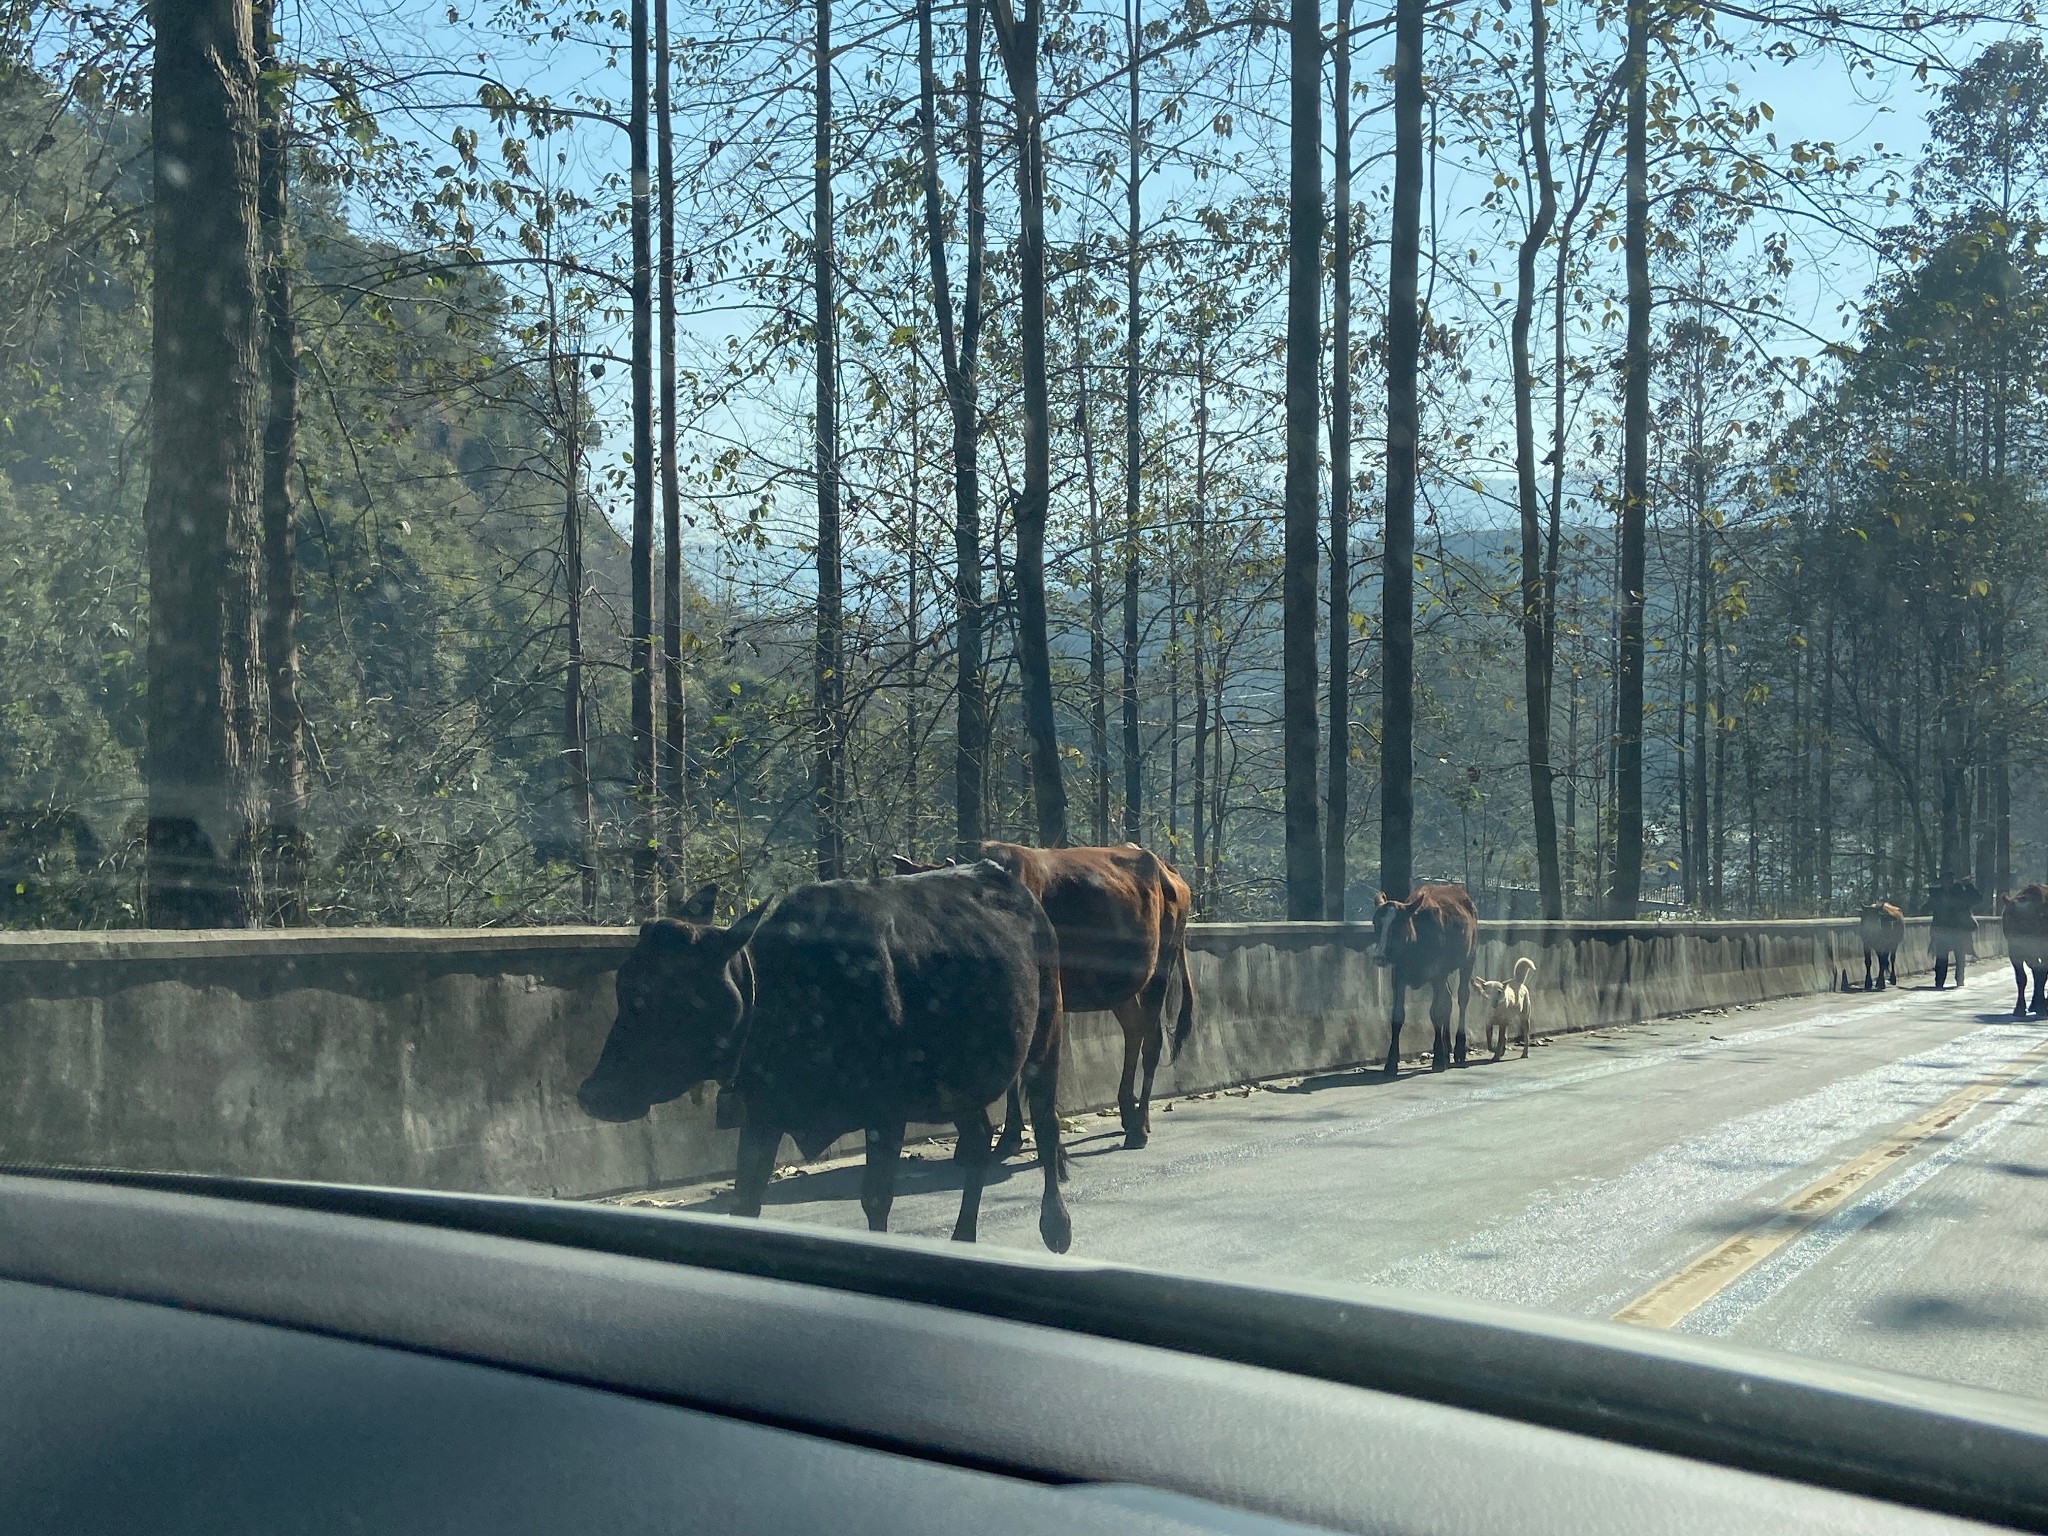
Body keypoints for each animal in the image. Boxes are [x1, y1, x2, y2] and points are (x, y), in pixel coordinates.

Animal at [577, 868, 1073, 1253]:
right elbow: (746, 1200)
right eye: (624, 987)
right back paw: (963, 1238)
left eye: (676, 998)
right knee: (979, 1137)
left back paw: (1057, 1225)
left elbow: (875, 1200)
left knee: (1046, 1122)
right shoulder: (763, 1114)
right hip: (958, 1085)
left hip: (1045, 1037)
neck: (788, 992)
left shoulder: (885, 1112)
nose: (594, 1093)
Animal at [888, 843, 1196, 1155]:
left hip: (1162, 965)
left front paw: (1011, 1135)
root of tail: (1167, 868)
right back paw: (1128, 1116)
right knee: (1134, 1032)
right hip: (1122, 988)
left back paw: (1140, 1126)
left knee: (1152, 1043)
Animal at [1368, 884, 1482, 1073]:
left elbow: (1436, 1012)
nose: (1379, 956)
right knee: (1448, 1000)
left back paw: (1458, 1049)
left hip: (1468, 959)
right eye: (1376, 923)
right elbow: (1398, 1016)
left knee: (1462, 997)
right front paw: (1391, 1063)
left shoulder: (1438, 975)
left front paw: (1439, 1059)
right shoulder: (1398, 978)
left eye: (1397, 925)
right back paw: (1447, 1048)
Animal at [1998, 888, 2048, 1024]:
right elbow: (2021, 978)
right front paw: (2019, 1008)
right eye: (2009, 918)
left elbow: (2042, 976)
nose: (2019, 940)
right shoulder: (2015, 954)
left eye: (2028, 922)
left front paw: (2042, 1007)